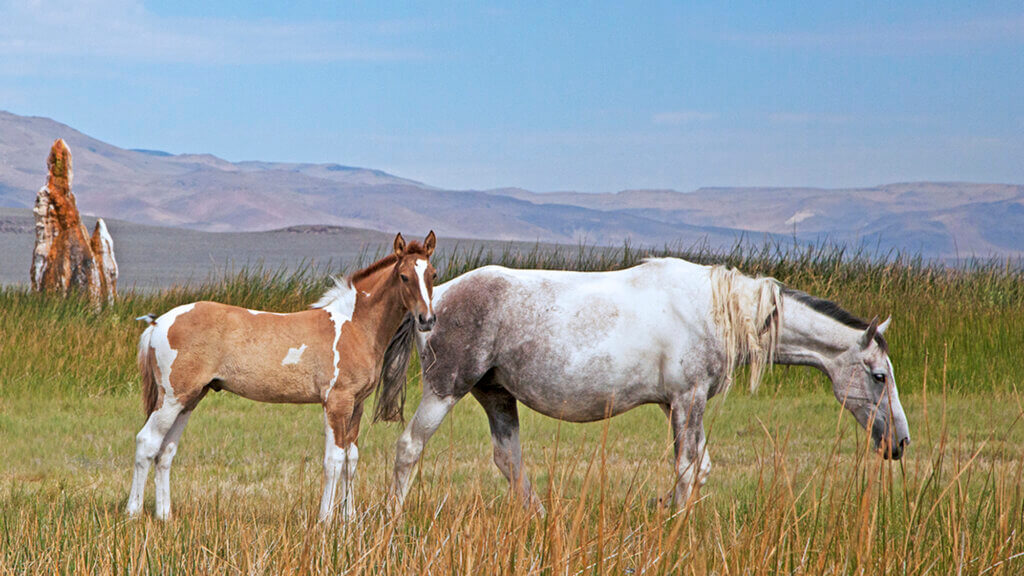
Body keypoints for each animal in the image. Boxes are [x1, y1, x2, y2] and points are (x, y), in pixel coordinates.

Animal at [125, 229, 438, 520]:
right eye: (404, 276)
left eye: (432, 275)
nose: (427, 320)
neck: (353, 326)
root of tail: (158, 323)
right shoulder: (336, 403)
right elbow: (334, 460)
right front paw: (325, 520)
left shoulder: (356, 404)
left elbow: (351, 459)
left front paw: (349, 520)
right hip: (172, 398)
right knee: (146, 443)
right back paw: (133, 513)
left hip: (190, 399)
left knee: (166, 451)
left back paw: (165, 515)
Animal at [389, 258, 913, 508]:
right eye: (879, 375)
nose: (900, 442)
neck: (713, 310)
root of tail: (433, 299)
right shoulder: (688, 399)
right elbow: (687, 469)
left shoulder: (674, 404)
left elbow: (699, 468)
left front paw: (665, 510)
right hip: (445, 390)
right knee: (410, 447)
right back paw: (393, 520)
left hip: (496, 395)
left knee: (509, 461)